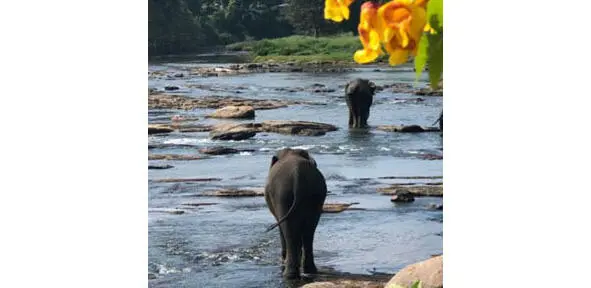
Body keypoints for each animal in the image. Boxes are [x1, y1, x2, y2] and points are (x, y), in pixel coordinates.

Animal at [264, 148, 328, 280]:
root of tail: (298, 174)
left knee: (288, 230)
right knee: (310, 229)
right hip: (316, 195)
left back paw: (289, 275)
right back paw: (310, 271)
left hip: (282, 195)